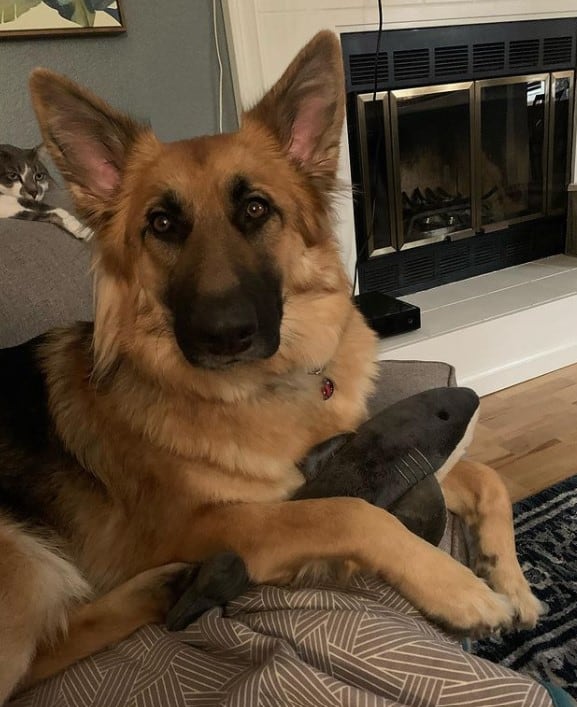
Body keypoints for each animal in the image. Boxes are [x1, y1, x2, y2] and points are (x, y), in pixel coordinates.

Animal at [0, 31, 540, 704]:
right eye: (162, 223)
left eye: (256, 210)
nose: (224, 335)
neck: (268, 387)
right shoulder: (208, 522)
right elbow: (345, 510)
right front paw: (461, 588)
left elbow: (482, 474)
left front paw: (511, 580)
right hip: (26, 562)